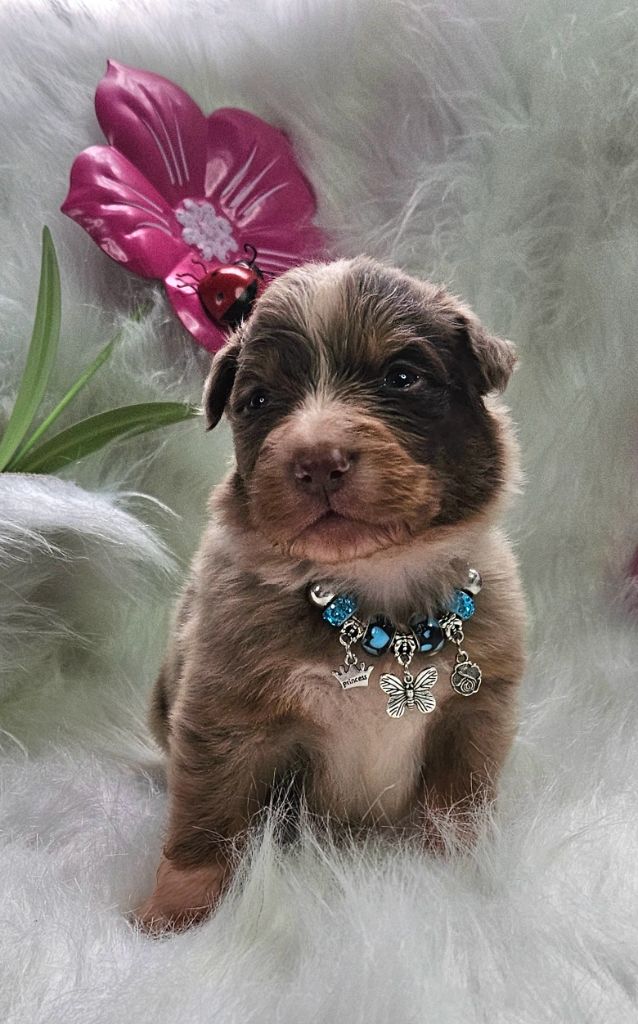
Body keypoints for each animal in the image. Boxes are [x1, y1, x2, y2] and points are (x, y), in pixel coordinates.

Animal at [136, 256, 526, 932]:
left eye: (402, 377)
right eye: (258, 400)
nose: (317, 460)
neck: (375, 585)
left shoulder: (475, 713)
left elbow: (457, 807)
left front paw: (459, 879)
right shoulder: (221, 716)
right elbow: (206, 820)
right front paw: (173, 915)